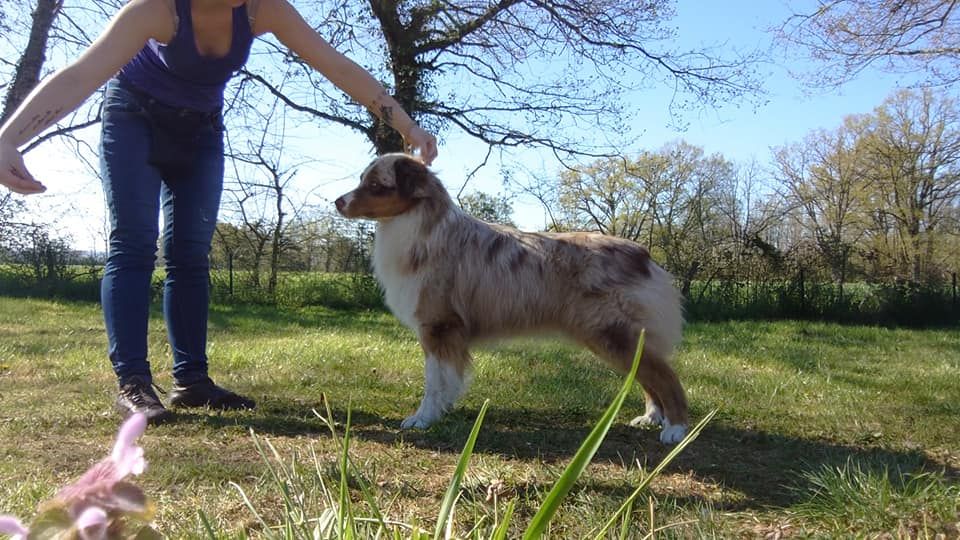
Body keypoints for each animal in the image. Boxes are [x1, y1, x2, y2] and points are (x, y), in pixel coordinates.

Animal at [334, 152, 688, 442]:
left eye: (376, 185)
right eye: (362, 179)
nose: (338, 201)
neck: (420, 227)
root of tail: (643, 255)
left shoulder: (438, 325)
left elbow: (434, 382)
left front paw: (422, 419)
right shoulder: (442, 331)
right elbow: (445, 380)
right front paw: (441, 412)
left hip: (611, 333)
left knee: (666, 377)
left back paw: (675, 430)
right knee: (650, 376)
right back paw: (651, 418)